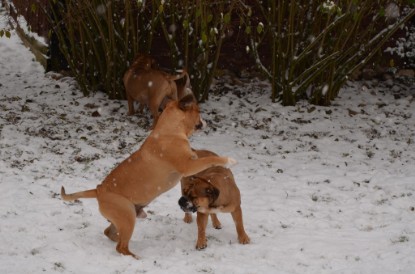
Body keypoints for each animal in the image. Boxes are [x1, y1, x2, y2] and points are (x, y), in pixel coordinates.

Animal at [61, 96, 237, 260]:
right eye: (198, 111)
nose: (206, 121)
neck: (170, 129)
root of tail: (98, 190)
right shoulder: (188, 166)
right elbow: (209, 159)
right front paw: (228, 160)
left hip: (124, 218)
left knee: (110, 233)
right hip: (127, 217)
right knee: (121, 247)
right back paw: (135, 257)